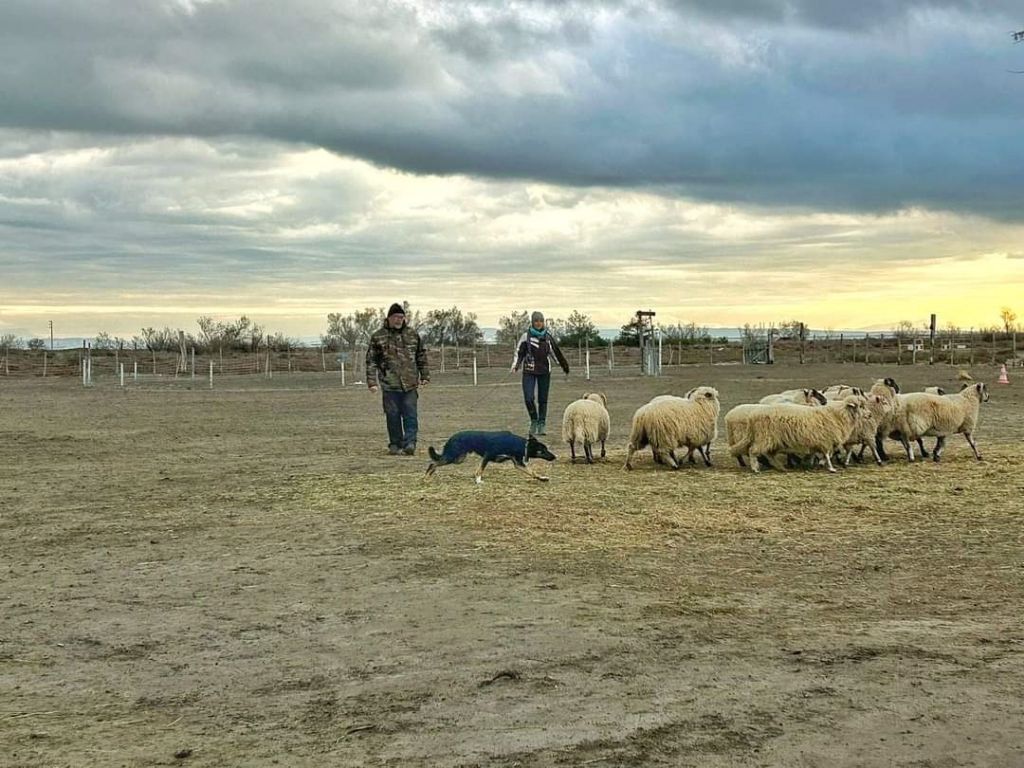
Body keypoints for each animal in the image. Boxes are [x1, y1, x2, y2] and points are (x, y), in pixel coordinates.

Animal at [423, 430, 557, 483]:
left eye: (546, 448)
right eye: (542, 450)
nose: (554, 457)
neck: (515, 444)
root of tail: (452, 437)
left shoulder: (518, 464)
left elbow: (532, 472)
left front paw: (542, 478)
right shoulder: (487, 456)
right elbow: (480, 470)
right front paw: (478, 481)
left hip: (458, 458)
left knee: (435, 463)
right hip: (453, 457)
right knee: (433, 463)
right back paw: (426, 478)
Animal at [729, 397, 872, 475]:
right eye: (860, 406)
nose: (870, 415)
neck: (839, 415)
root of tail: (752, 417)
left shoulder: (821, 441)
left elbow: (822, 454)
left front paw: (816, 463)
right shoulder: (826, 440)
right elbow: (828, 454)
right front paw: (830, 468)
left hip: (773, 440)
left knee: (770, 454)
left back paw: (780, 467)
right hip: (765, 437)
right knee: (753, 451)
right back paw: (755, 468)